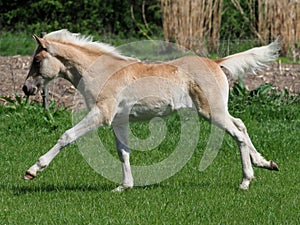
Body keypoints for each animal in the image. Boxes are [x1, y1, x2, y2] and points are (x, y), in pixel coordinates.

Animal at [22, 29, 278, 191]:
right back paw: (265, 163)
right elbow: (123, 152)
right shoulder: (119, 121)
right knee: (241, 125)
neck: (101, 72)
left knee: (238, 134)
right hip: (218, 111)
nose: (26, 88)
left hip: (211, 112)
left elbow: (67, 136)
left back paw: (245, 182)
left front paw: (33, 170)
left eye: (37, 61)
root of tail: (216, 62)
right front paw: (124, 186)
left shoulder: (101, 115)